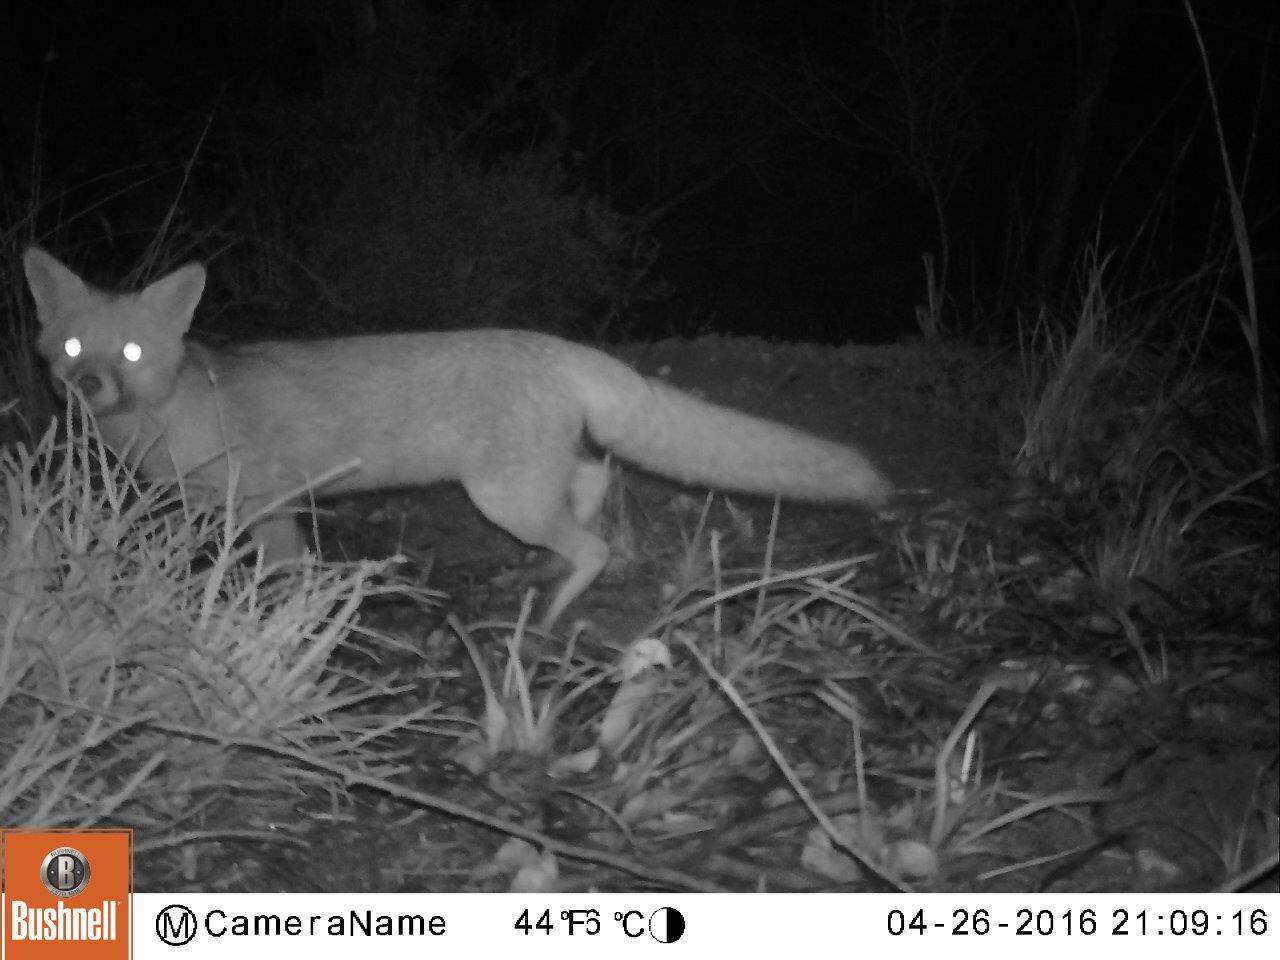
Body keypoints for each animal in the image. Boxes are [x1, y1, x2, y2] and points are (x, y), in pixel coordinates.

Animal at [23, 246, 893, 627]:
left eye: (133, 354)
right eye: (74, 347)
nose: (86, 386)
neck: (171, 415)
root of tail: (556, 346)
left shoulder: (262, 505)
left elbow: (279, 575)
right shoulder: (218, 506)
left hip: (503, 497)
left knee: (596, 544)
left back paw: (549, 616)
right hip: (535, 483)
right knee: (594, 486)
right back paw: (541, 576)